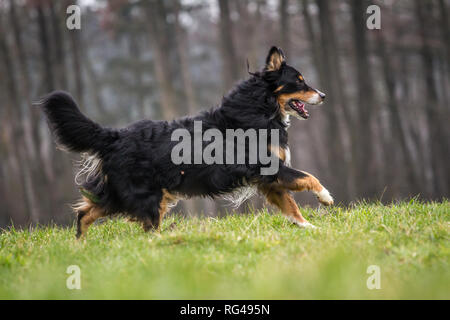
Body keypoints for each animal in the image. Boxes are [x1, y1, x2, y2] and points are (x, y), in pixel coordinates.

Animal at [38, 46, 332, 239]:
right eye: (299, 81)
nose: (324, 95)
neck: (261, 106)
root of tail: (115, 136)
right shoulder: (270, 169)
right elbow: (309, 177)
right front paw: (325, 197)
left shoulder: (268, 181)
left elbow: (291, 206)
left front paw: (309, 228)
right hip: (147, 197)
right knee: (144, 228)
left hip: (123, 194)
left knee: (85, 213)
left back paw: (80, 246)